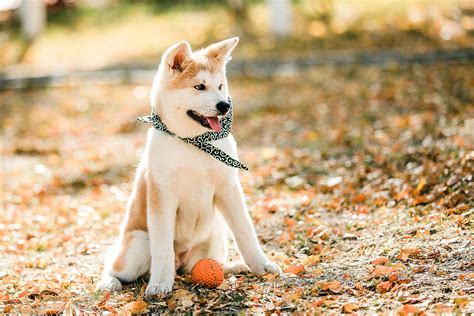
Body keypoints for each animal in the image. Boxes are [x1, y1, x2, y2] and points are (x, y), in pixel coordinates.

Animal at [96, 37, 282, 296]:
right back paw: (109, 282)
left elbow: (245, 231)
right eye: (199, 87)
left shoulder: (228, 189)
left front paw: (261, 265)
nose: (224, 106)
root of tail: (182, 261)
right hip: (138, 246)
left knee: (204, 264)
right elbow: (163, 248)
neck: (194, 143)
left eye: (220, 86)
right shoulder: (161, 198)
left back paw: (234, 266)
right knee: (117, 266)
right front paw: (160, 284)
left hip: (215, 234)